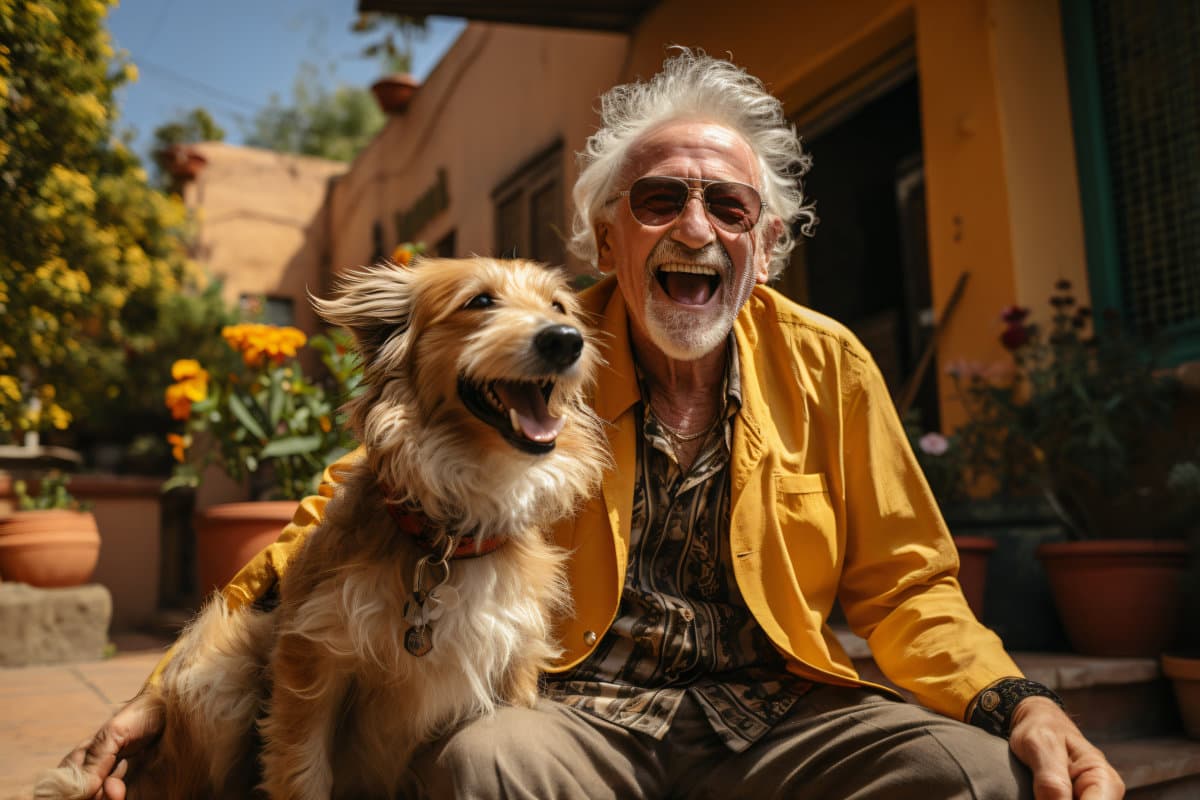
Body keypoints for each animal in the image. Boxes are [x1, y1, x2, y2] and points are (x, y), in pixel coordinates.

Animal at [35, 257, 609, 800]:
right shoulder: (311, 665)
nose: (565, 340)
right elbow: (301, 772)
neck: (449, 535)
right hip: (221, 673)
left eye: (559, 306)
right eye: (481, 301)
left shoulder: (513, 668)